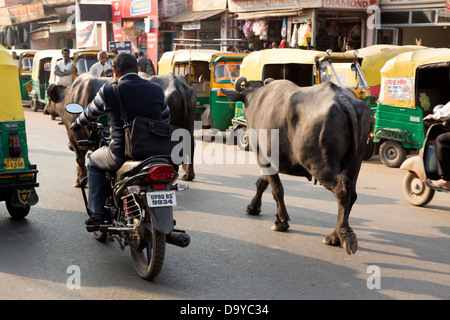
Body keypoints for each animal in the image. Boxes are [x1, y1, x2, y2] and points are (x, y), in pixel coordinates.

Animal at [223, 78, 370, 255]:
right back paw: (335, 234)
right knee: (352, 193)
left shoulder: (262, 157)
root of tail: (343, 99)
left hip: (319, 163)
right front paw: (253, 207)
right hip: (355, 163)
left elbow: (276, 189)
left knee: (341, 190)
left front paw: (280, 221)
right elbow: (262, 183)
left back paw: (338, 235)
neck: (256, 99)